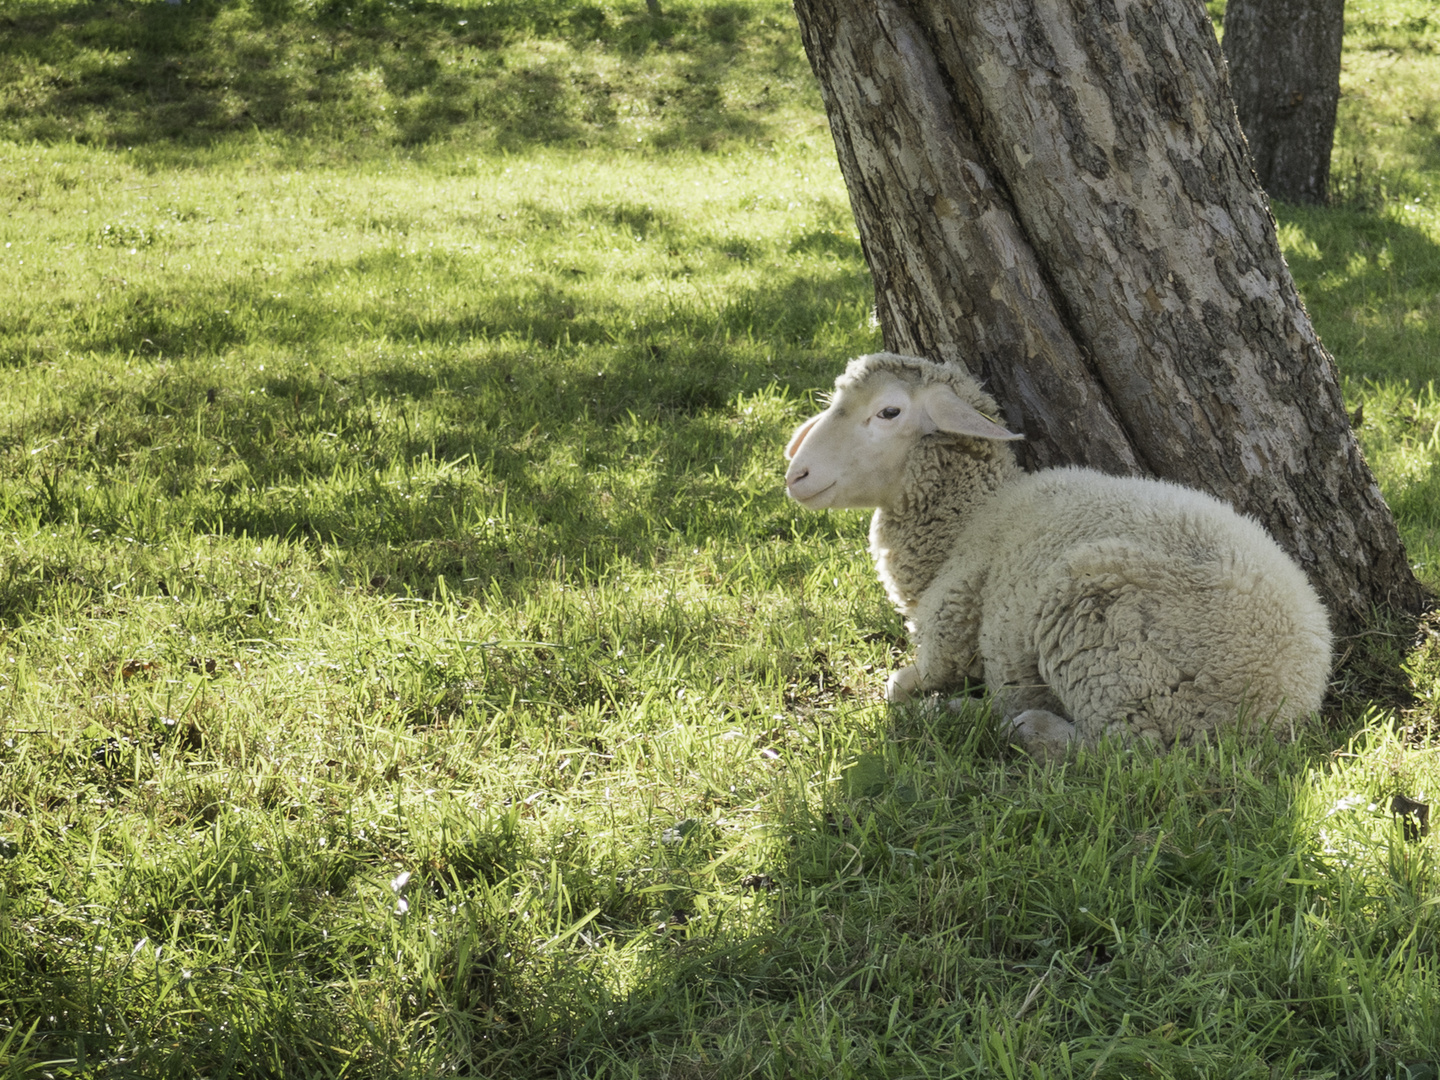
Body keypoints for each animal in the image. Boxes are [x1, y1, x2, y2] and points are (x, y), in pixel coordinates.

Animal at [783, 355, 1330, 760]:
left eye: (888, 412)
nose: (796, 475)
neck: (969, 518)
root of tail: (1288, 701)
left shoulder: (947, 633)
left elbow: (895, 686)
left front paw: (929, 701)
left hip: (1107, 635)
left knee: (1126, 750)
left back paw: (1013, 725)